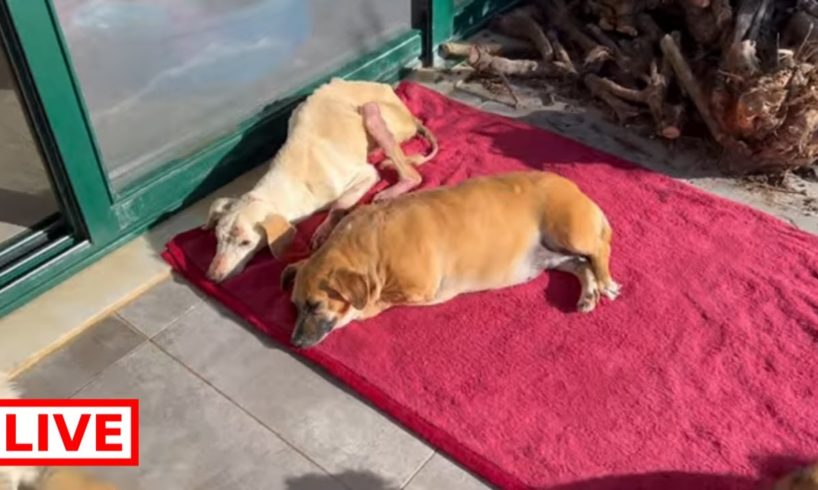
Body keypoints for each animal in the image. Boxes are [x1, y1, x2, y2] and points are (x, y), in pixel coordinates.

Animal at [203, 78, 436, 282]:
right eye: (218, 237)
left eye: (245, 243)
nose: (212, 276)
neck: (282, 185)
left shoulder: (365, 174)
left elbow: (339, 202)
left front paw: (324, 230)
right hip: (298, 112)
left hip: (372, 113)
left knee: (411, 173)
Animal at [280, 170, 620, 346]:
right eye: (294, 305)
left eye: (315, 306)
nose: (293, 342)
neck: (369, 248)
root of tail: (572, 185)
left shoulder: (419, 289)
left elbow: (374, 304)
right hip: (553, 255)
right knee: (580, 265)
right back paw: (588, 293)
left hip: (570, 231)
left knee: (599, 249)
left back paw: (605, 281)